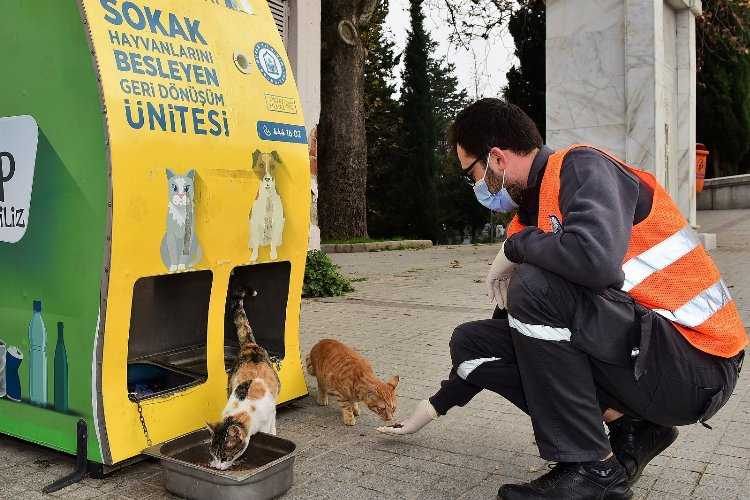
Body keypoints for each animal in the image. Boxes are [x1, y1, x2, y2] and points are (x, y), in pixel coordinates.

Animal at [206, 288, 282, 470]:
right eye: (213, 454)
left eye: (224, 457)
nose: (217, 467)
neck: (243, 407)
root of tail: (249, 346)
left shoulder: (268, 416)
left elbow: (269, 429)